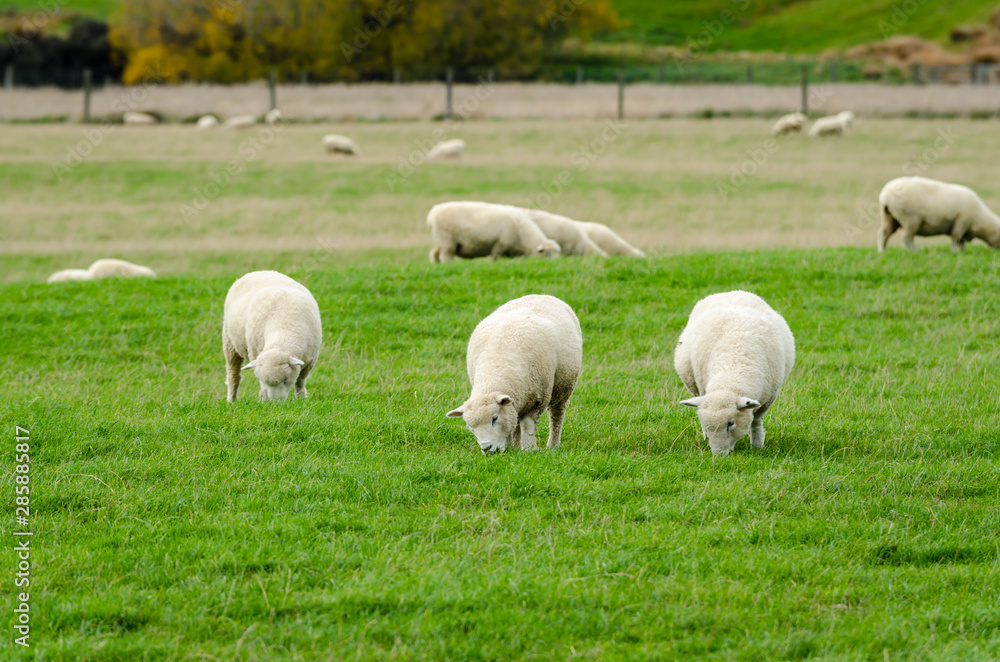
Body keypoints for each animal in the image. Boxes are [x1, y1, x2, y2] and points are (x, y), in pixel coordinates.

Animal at [224, 272, 324, 404]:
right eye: (265, 381)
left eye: (286, 379)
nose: (277, 403)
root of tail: (258, 272)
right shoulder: (256, 355)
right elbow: (262, 386)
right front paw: (264, 399)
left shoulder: (309, 362)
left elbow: (300, 382)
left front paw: (301, 398)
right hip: (229, 342)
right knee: (233, 375)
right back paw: (232, 400)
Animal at [426, 201, 564, 264]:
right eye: (548, 254)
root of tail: (432, 213)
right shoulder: (500, 244)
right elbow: (495, 258)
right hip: (447, 240)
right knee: (446, 255)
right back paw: (448, 264)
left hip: (441, 240)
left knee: (434, 253)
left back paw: (436, 264)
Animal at [448, 296, 584, 456]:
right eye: (470, 427)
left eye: (494, 418)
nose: (487, 449)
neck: (495, 372)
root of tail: (540, 295)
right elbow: (511, 426)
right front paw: (510, 448)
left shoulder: (538, 399)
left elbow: (527, 425)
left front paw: (529, 450)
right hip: (520, 397)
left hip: (564, 386)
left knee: (557, 416)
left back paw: (553, 445)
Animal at [672, 294, 796, 460]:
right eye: (707, 425)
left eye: (730, 423)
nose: (718, 455)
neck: (730, 377)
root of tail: (731, 292)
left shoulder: (767, 399)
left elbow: (756, 422)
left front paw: (757, 446)